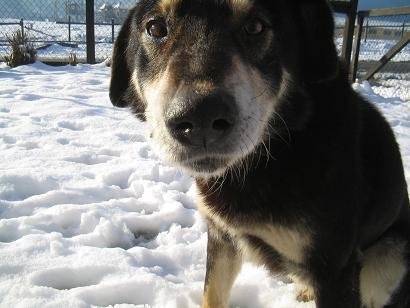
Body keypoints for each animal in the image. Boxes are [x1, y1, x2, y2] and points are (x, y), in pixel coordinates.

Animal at [109, 1, 410, 306]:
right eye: (156, 28)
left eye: (255, 26)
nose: (200, 118)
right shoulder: (222, 237)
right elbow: (212, 293)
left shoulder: (334, 267)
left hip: (391, 256)